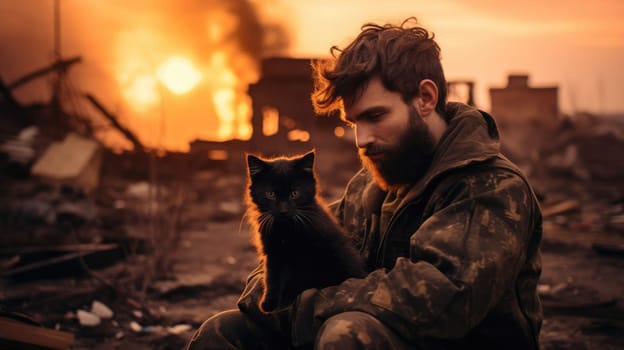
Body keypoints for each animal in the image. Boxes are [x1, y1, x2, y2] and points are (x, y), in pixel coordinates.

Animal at [246, 150, 368, 312]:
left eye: (294, 193)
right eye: (270, 194)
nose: (283, 211)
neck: (287, 229)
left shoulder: (316, 254)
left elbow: (302, 279)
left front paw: (288, 299)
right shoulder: (273, 253)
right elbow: (272, 277)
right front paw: (269, 302)